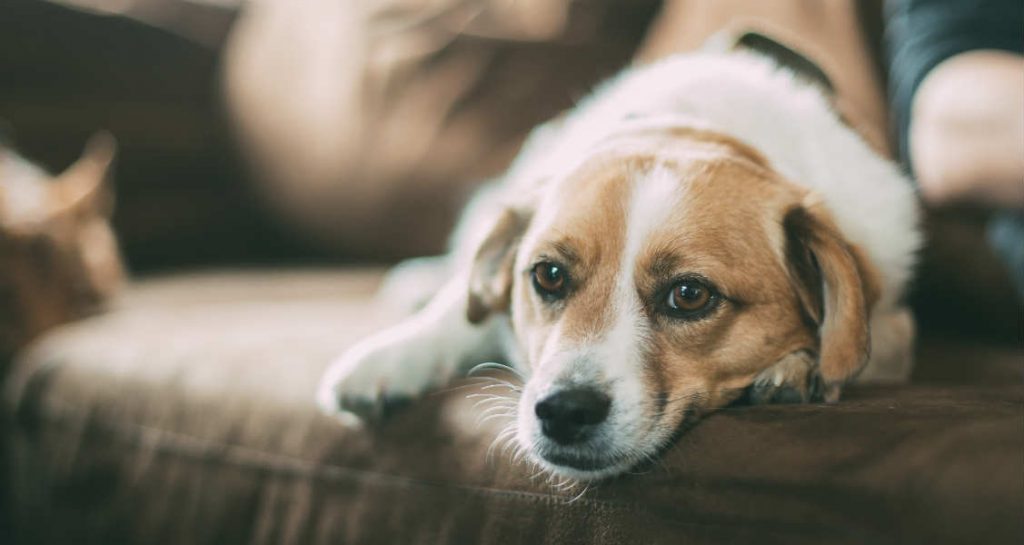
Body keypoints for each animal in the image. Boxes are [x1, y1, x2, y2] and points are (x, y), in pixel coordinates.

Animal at [313, 46, 921, 481]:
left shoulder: (892, 322)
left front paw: (799, 367)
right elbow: (458, 311)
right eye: (548, 275)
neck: (692, 128)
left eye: (690, 295)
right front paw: (392, 356)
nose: (563, 411)